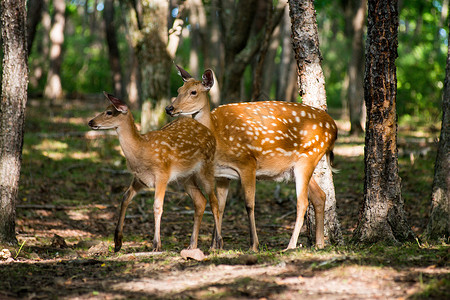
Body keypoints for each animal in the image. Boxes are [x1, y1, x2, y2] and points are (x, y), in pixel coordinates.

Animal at [89, 91, 222, 251]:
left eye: (109, 112)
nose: (91, 122)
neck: (141, 152)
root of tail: (210, 133)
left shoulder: (162, 175)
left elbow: (157, 207)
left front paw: (156, 245)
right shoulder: (140, 179)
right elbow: (125, 197)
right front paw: (117, 241)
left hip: (206, 168)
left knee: (214, 201)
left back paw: (217, 243)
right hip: (185, 177)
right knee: (201, 201)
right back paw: (192, 245)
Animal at [165, 65, 338, 251]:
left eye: (193, 92)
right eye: (179, 90)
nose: (169, 108)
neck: (218, 138)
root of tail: (334, 128)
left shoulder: (247, 162)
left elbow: (249, 204)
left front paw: (254, 245)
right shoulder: (222, 174)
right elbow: (219, 206)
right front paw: (214, 246)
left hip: (308, 157)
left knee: (303, 202)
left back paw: (291, 245)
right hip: (301, 165)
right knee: (320, 196)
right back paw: (319, 244)